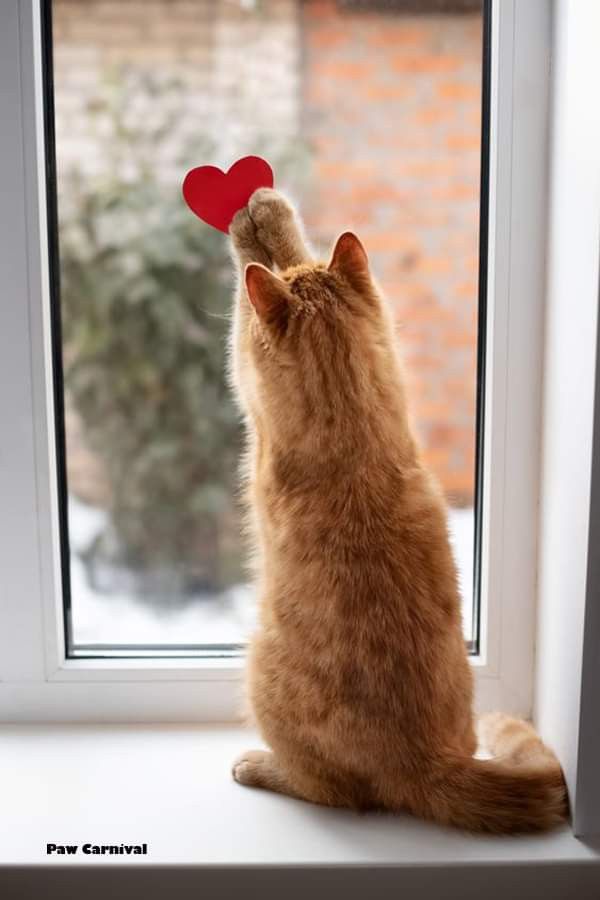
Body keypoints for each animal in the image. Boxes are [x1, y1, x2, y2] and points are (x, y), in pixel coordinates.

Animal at [226, 190, 568, 836]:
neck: (350, 412)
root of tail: (429, 763)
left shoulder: (245, 376)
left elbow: (247, 286)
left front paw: (260, 218)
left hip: (258, 670)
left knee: (332, 791)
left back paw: (259, 766)